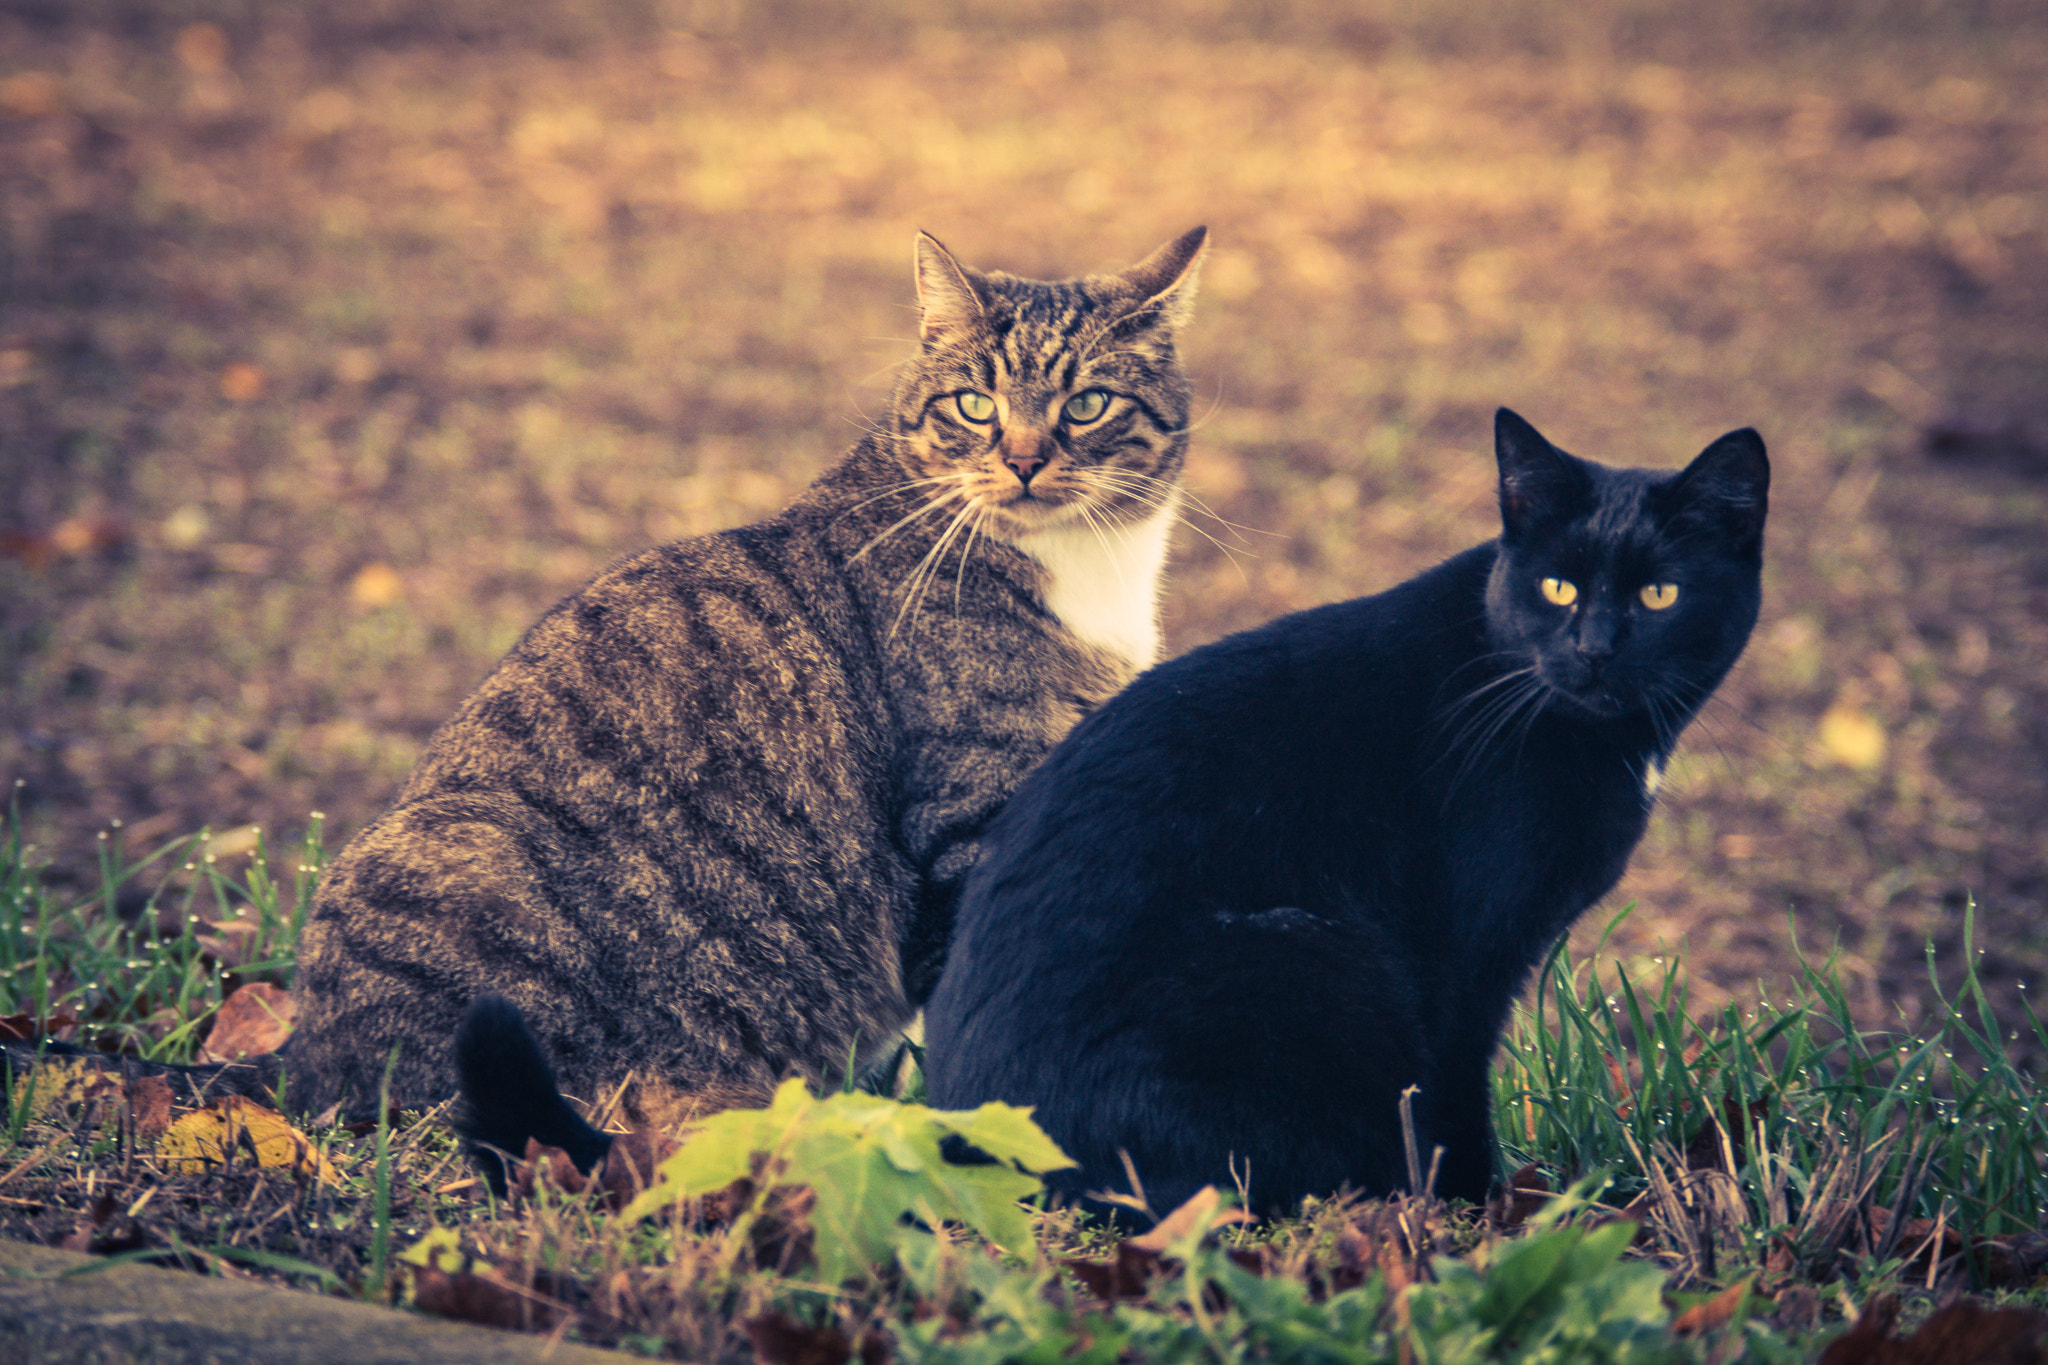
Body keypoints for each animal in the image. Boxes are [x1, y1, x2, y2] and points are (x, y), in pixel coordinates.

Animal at [278, 232, 1196, 1129]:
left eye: (1087, 404)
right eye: (975, 404)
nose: (1026, 459)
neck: (1083, 566)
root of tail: (299, 1066)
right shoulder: (965, 810)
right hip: (471, 866)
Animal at [921, 409, 1769, 1219]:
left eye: (1659, 595)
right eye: (1558, 588)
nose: (1594, 650)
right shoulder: (1463, 952)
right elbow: (1454, 1079)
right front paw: (1476, 1206)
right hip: (1312, 956)